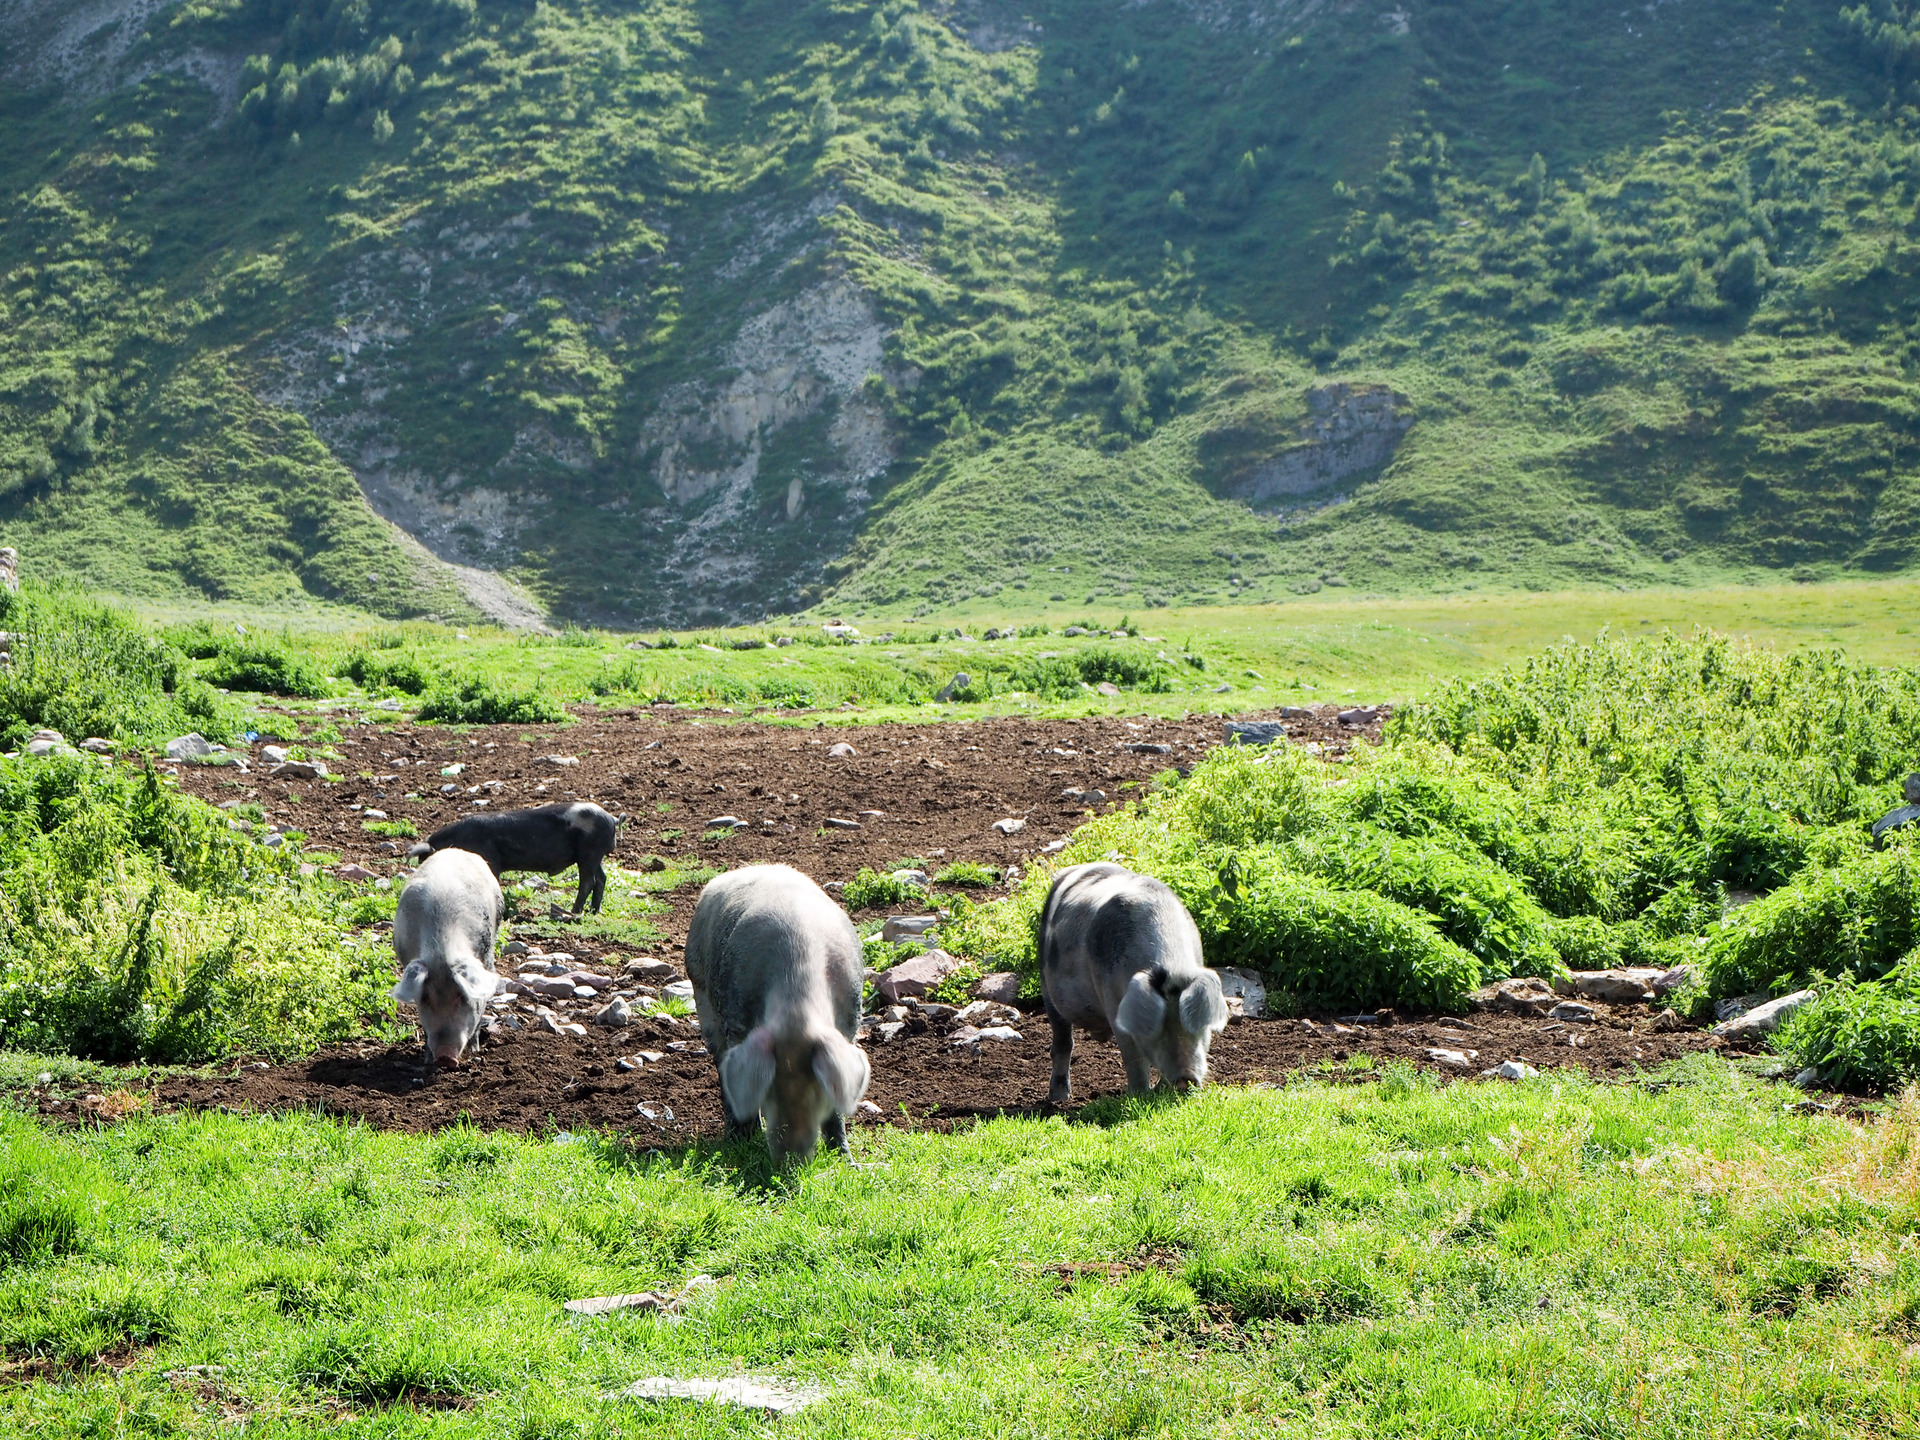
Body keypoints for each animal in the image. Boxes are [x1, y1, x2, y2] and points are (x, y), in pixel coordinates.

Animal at [391, 847, 504, 1071]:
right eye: (425, 998)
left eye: (462, 997)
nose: (445, 1057)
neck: (440, 952)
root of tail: (455, 850)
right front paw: (427, 1059)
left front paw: (475, 1051)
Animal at [408, 801, 621, 914]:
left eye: (426, 859)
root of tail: (611, 818)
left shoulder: (491, 860)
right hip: (594, 855)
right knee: (601, 878)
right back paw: (594, 910)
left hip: (589, 852)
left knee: (589, 881)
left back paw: (572, 911)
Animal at [684, 864, 869, 1165]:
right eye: (769, 1092)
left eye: (818, 1092)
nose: (791, 1158)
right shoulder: (736, 1023)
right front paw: (744, 1143)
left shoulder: (848, 1026)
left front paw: (847, 1161)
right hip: (700, 987)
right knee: (721, 1067)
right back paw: (736, 1138)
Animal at [1038, 861, 1229, 1105]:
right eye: (1157, 1027)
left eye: (1198, 1025)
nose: (1185, 1079)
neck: (1172, 966)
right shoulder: (1111, 998)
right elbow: (1134, 1057)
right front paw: (1139, 1096)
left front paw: (1159, 1092)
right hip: (1046, 986)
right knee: (1063, 1041)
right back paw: (1059, 1099)